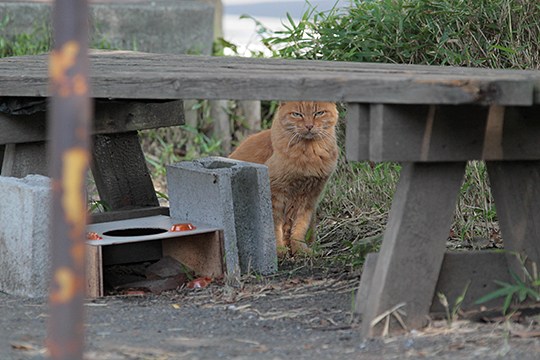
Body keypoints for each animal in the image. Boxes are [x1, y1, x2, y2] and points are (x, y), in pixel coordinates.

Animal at [229, 101, 338, 256]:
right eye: (297, 114)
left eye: (319, 113)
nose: (309, 126)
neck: (309, 155)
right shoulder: (275, 194)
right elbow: (275, 227)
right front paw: (279, 251)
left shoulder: (308, 197)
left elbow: (299, 227)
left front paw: (300, 250)